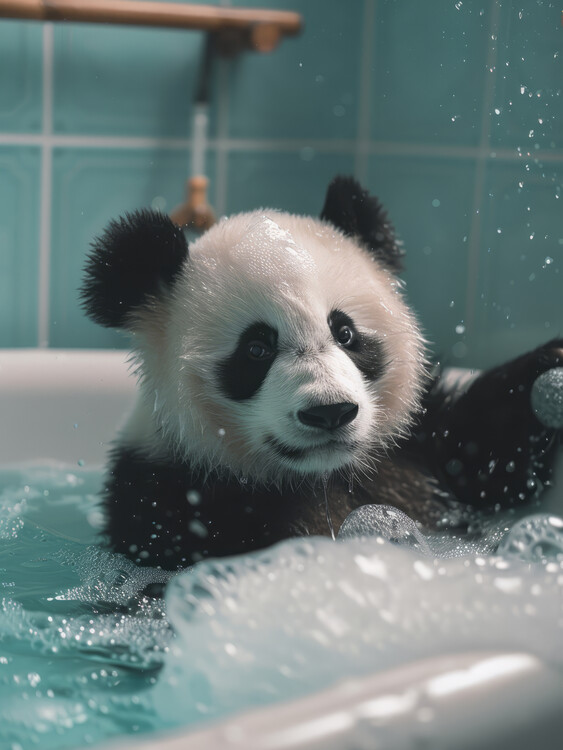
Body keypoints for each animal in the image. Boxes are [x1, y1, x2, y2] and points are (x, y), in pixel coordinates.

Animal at [81, 176, 563, 570]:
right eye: (256, 349)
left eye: (344, 332)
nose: (331, 412)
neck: (321, 476)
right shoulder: (170, 493)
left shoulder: (418, 452)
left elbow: (492, 455)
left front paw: (550, 366)